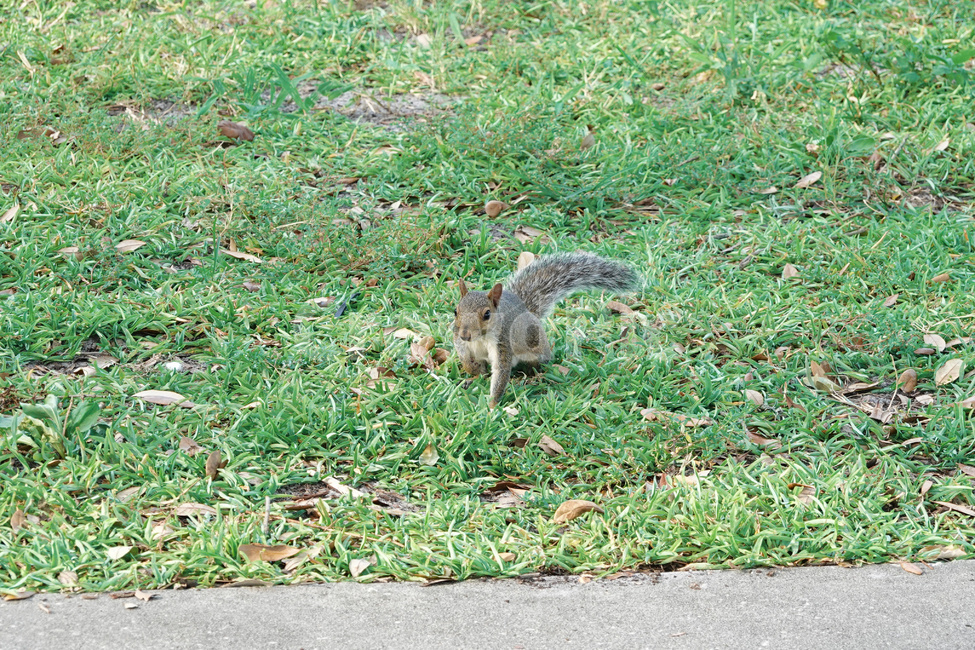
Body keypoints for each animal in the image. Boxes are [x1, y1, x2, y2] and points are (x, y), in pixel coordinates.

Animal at [452, 252, 639, 408]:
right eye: (456, 311)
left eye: (487, 314)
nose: (465, 334)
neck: (480, 338)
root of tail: (527, 311)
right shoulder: (458, 337)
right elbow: (463, 354)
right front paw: (471, 368)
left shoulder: (502, 343)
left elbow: (501, 372)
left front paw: (491, 407)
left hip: (535, 346)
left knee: (538, 362)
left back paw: (533, 376)